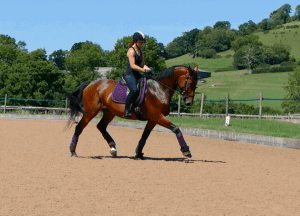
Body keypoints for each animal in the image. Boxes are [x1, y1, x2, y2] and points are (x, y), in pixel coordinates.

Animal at [66, 65, 199, 158]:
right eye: (191, 83)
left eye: (196, 84)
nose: (189, 102)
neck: (159, 88)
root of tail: (91, 83)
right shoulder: (157, 116)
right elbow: (176, 129)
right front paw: (186, 150)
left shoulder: (153, 119)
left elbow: (144, 136)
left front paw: (138, 153)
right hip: (90, 111)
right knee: (79, 128)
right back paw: (73, 151)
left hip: (109, 112)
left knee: (101, 126)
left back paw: (113, 148)